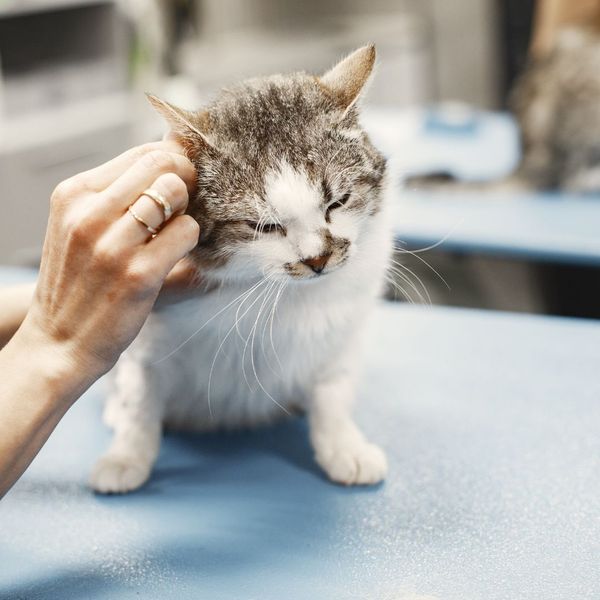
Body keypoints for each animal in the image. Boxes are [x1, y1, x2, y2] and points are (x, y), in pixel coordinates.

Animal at [89, 43, 392, 492]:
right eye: (264, 226)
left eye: (337, 202)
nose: (317, 259)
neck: (275, 294)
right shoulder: (146, 336)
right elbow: (140, 396)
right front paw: (127, 454)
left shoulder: (340, 334)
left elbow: (332, 390)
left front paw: (344, 446)